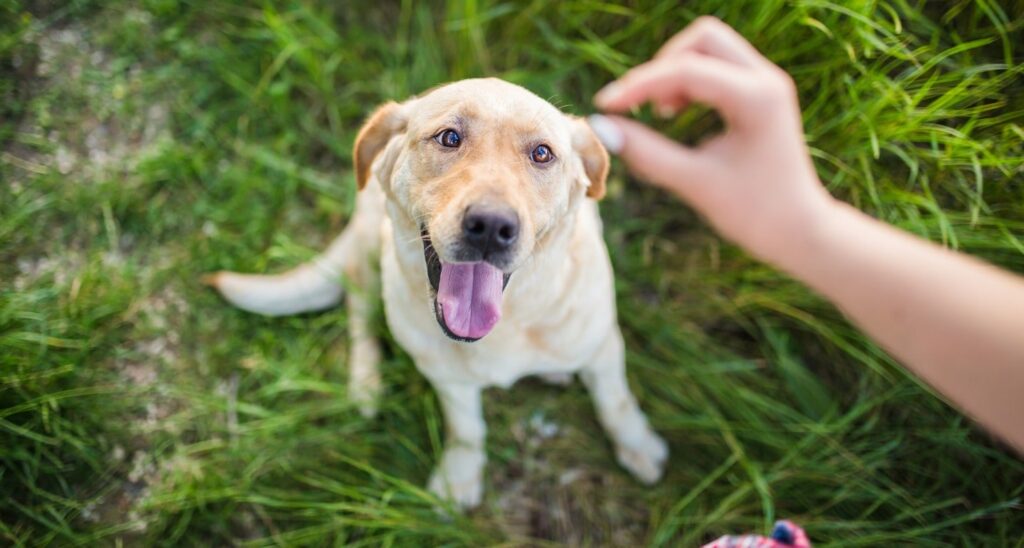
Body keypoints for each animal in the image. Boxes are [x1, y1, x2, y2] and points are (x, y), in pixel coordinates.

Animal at [205, 78, 667, 509]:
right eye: (449, 138)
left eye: (542, 153)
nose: (491, 226)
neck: (507, 325)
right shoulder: (445, 375)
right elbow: (467, 429)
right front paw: (460, 476)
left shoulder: (603, 346)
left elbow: (615, 401)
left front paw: (638, 445)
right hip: (370, 248)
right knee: (359, 310)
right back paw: (366, 383)